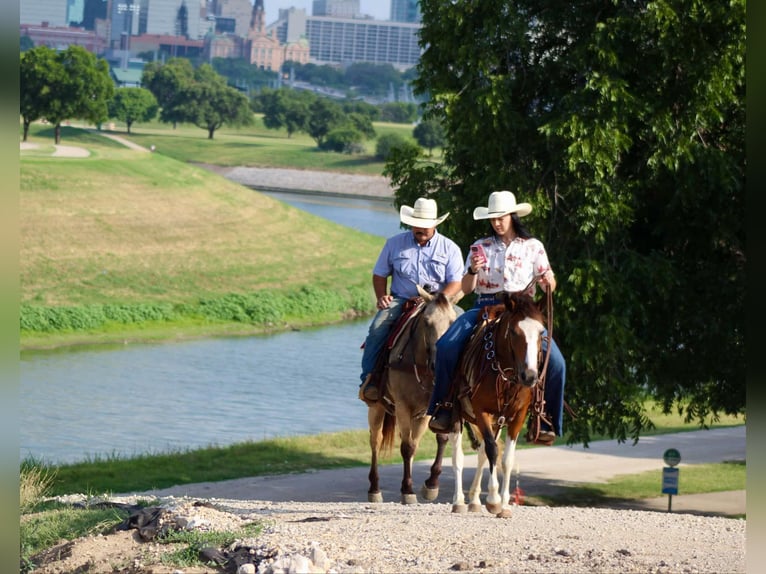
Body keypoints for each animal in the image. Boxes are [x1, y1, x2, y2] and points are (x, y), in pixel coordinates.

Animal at [368, 286, 464, 506]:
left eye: (452, 322)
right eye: (427, 322)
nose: (438, 364)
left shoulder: (429, 410)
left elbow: (437, 439)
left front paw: (431, 485)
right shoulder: (403, 405)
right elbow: (406, 447)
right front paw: (407, 489)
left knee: (413, 441)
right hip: (376, 407)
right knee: (375, 441)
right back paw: (374, 488)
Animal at [448, 290, 548, 520]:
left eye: (541, 332)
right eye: (513, 331)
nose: (530, 376)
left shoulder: (518, 416)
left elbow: (506, 458)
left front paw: (504, 505)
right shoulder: (482, 411)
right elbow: (493, 450)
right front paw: (493, 500)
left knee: (481, 453)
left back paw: (474, 501)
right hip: (459, 415)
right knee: (458, 456)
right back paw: (459, 502)